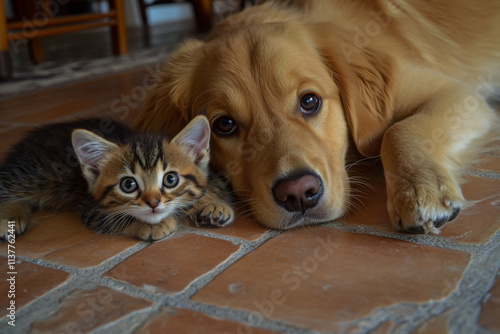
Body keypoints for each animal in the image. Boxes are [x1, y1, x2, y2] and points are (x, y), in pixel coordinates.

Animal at [0, 117, 221, 240]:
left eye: (170, 180)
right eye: (128, 184)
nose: (153, 203)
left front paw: (213, 204)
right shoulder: (88, 204)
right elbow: (113, 218)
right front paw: (153, 225)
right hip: (35, 175)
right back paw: (9, 216)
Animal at [134, 0, 500, 234]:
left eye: (309, 101)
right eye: (224, 125)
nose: (298, 194)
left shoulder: (455, 92)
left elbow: (398, 131)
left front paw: (418, 190)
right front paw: (208, 197)